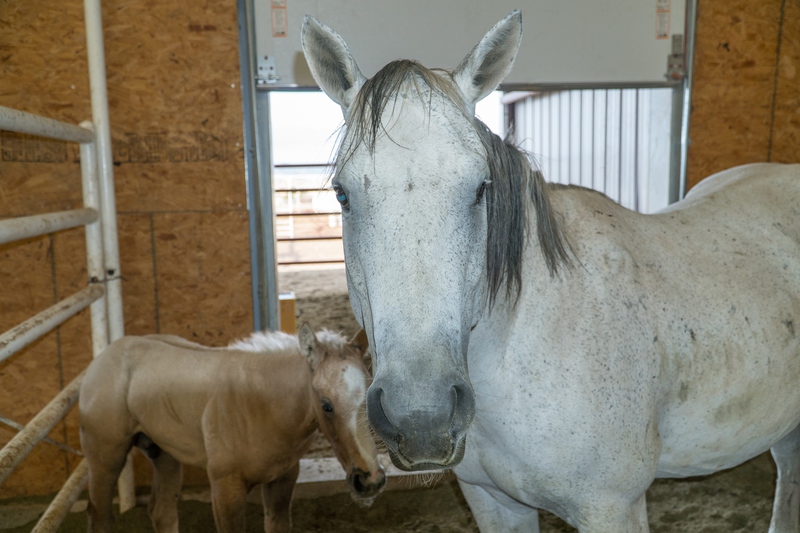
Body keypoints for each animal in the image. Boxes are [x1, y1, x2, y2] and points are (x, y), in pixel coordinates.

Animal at [79, 324, 386, 532]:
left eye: (369, 398)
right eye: (326, 405)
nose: (370, 480)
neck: (261, 404)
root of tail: (102, 360)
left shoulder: (282, 480)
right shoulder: (226, 488)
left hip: (164, 456)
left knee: (161, 512)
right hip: (106, 460)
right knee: (100, 516)